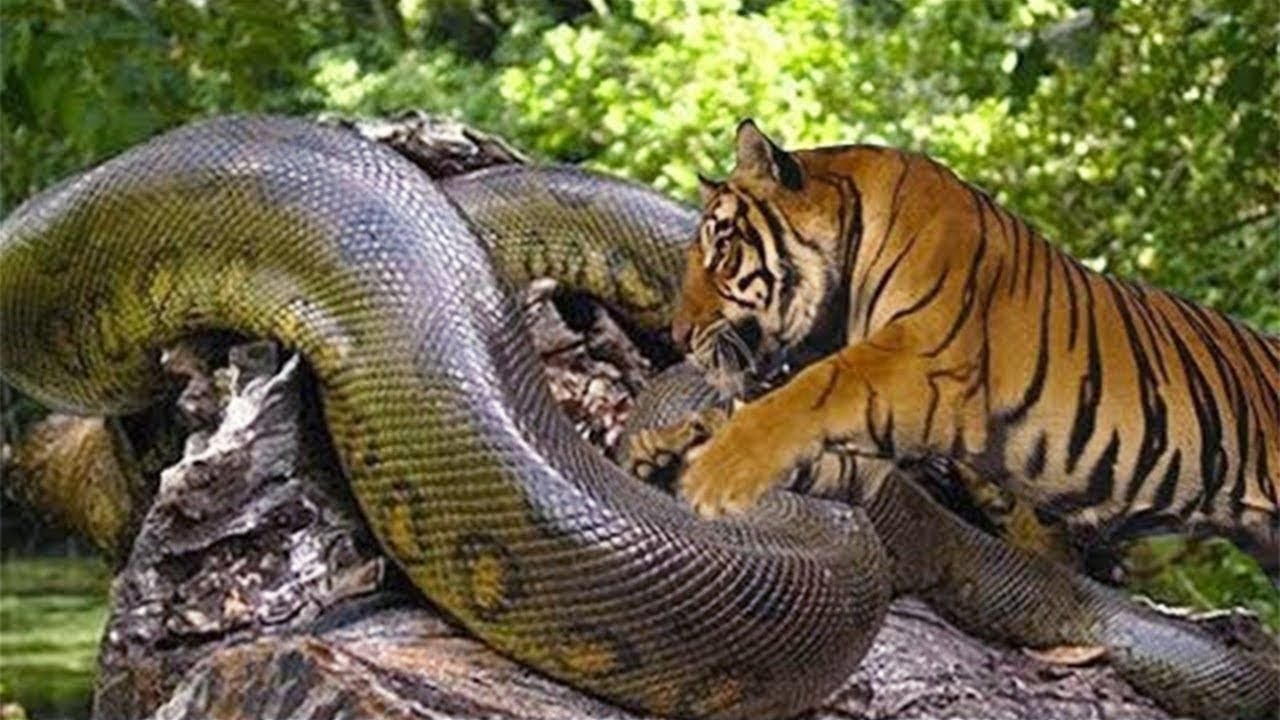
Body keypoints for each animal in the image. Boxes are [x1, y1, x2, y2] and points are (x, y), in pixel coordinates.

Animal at [664, 119, 1279, 574]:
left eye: (722, 249)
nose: (677, 336)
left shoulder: (920, 361)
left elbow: (810, 390)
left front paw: (714, 473)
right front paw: (685, 442)